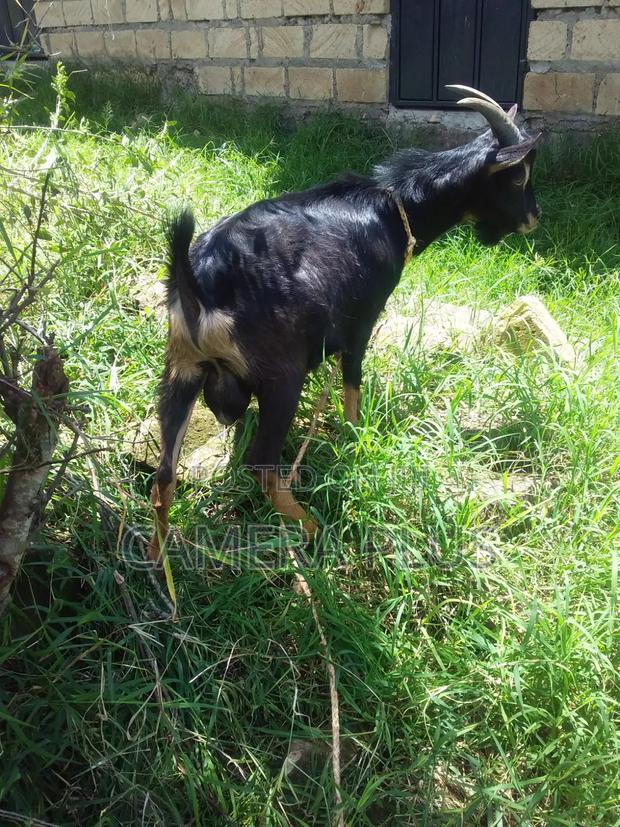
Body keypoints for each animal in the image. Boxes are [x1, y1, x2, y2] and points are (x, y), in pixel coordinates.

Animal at [148, 86, 542, 563]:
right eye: (518, 177)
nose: (534, 218)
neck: (394, 209)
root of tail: (200, 281)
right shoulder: (362, 320)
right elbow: (352, 383)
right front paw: (356, 437)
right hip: (282, 376)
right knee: (261, 465)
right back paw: (314, 528)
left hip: (181, 369)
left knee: (164, 476)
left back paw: (157, 562)